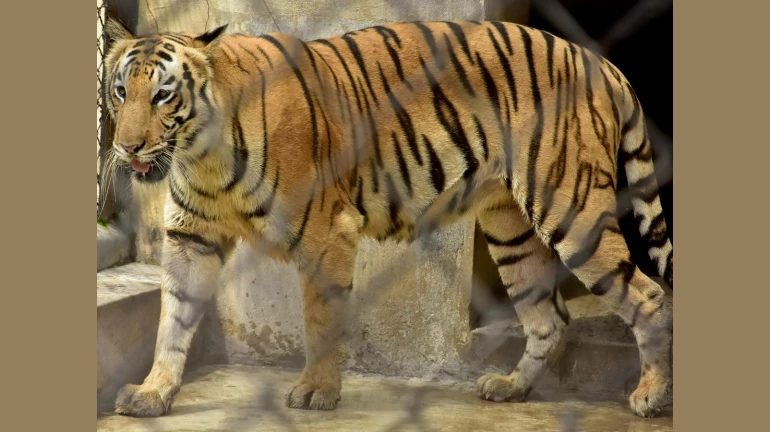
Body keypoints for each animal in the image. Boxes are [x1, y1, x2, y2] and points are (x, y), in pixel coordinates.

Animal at [103, 17, 673, 419]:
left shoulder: (327, 231)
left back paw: (650, 396)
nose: (126, 146)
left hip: (572, 211)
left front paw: (316, 391)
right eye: (121, 91)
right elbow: (172, 320)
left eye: (163, 95)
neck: (202, 153)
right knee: (549, 319)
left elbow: (320, 320)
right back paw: (510, 388)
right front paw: (154, 393)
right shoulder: (189, 238)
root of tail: (599, 61)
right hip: (511, 227)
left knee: (649, 295)